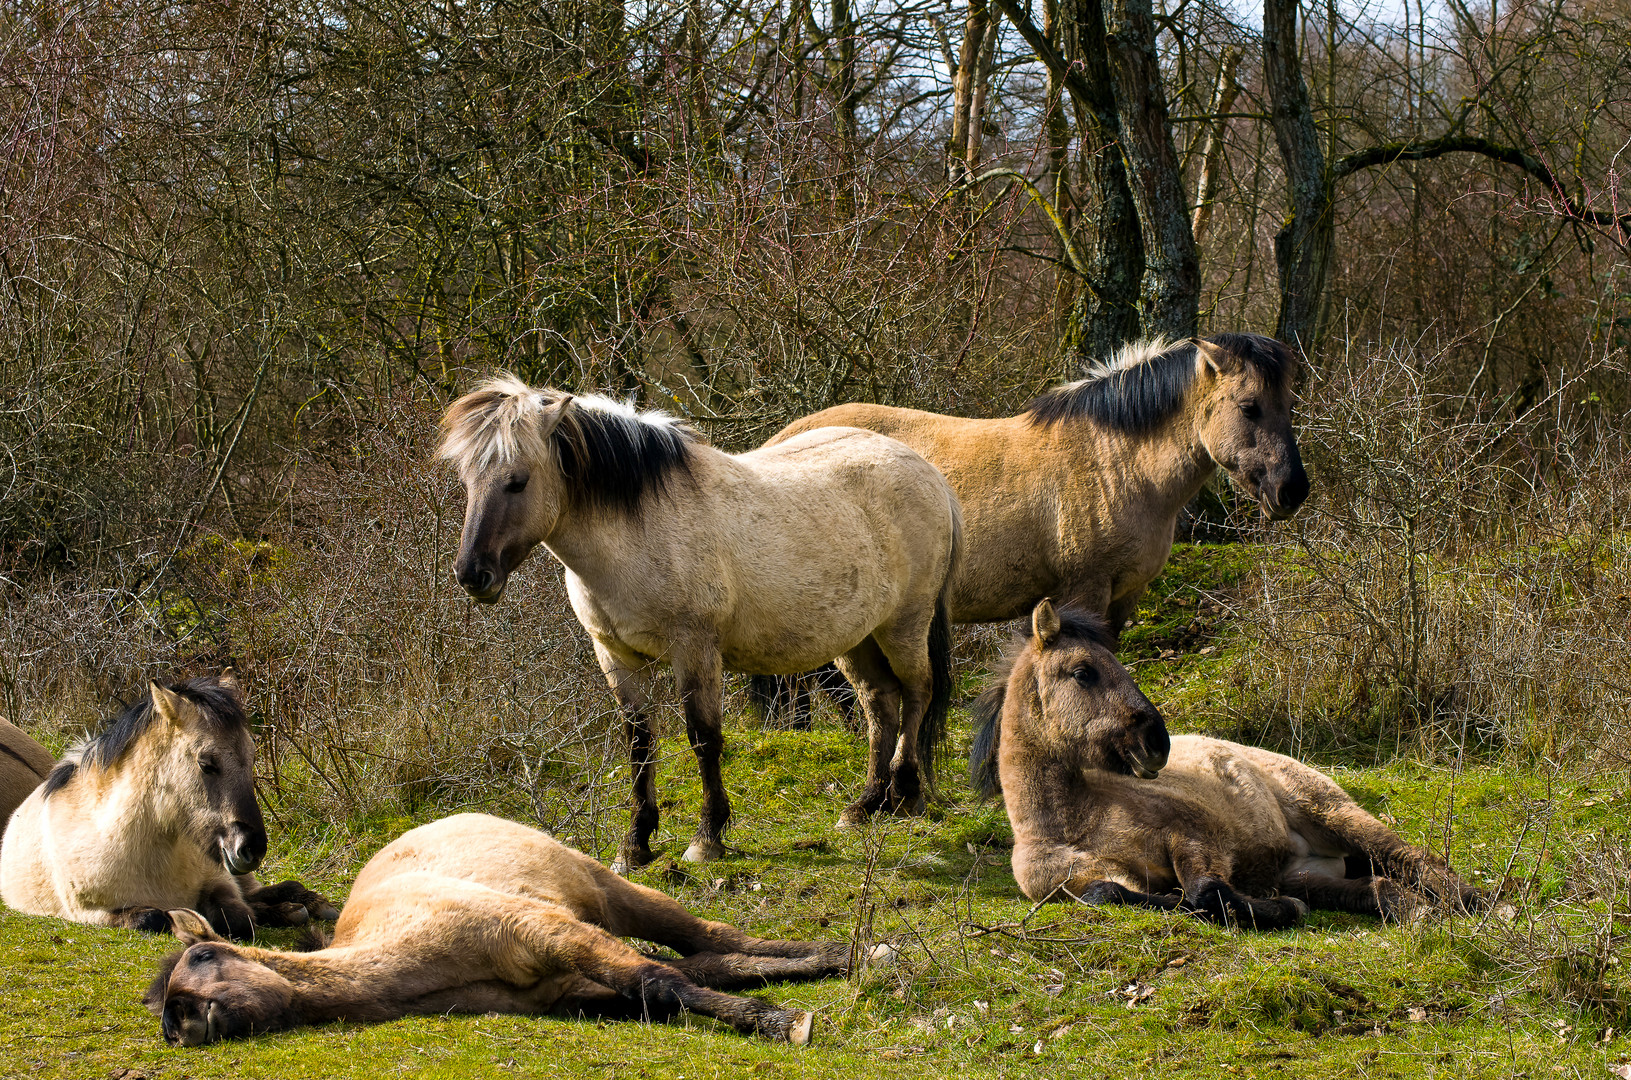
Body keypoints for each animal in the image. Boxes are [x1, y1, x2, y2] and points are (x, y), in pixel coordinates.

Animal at [0, 678, 337, 939]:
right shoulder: (90, 914)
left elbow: (239, 918)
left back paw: (306, 905)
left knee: (264, 893)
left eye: (252, 758)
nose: (251, 848)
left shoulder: (222, 884)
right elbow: (154, 917)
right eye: (206, 763)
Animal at [150, 822, 893, 1050]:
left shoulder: (556, 935)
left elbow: (661, 981)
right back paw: (841, 958)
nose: (180, 1025)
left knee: (705, 934)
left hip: (613, 895)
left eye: (204, 955)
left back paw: (852, 954)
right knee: (717, 957)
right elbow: (664, 989)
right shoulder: (565, 987)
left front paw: (783, 1023)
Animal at [440, 376, 959, 874]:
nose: (472, 575)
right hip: (859, 636)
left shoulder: (694, 648)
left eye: (517, 482)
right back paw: (865, 805)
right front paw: (635, 844)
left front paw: (707, 838)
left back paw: (906, 793)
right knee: (880, 703)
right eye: (468, 480)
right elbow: (640, 743)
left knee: (918, 691)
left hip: (904, 624)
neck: (638, 530)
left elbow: (703, 736)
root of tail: (926, 470)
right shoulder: (614, 654)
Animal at [965, 600, 1493, 933]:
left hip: (1331, 811)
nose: (1157, 743)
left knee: (1413, 858)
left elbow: (1206, 891)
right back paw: (1412, 912)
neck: (1069, 822)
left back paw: (1479, 904)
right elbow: (1112, 893)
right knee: (1374, 886)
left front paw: (1280, 912)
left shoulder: (1193, 838)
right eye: (1082, 672)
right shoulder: (1078, 885)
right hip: (1306, 871)